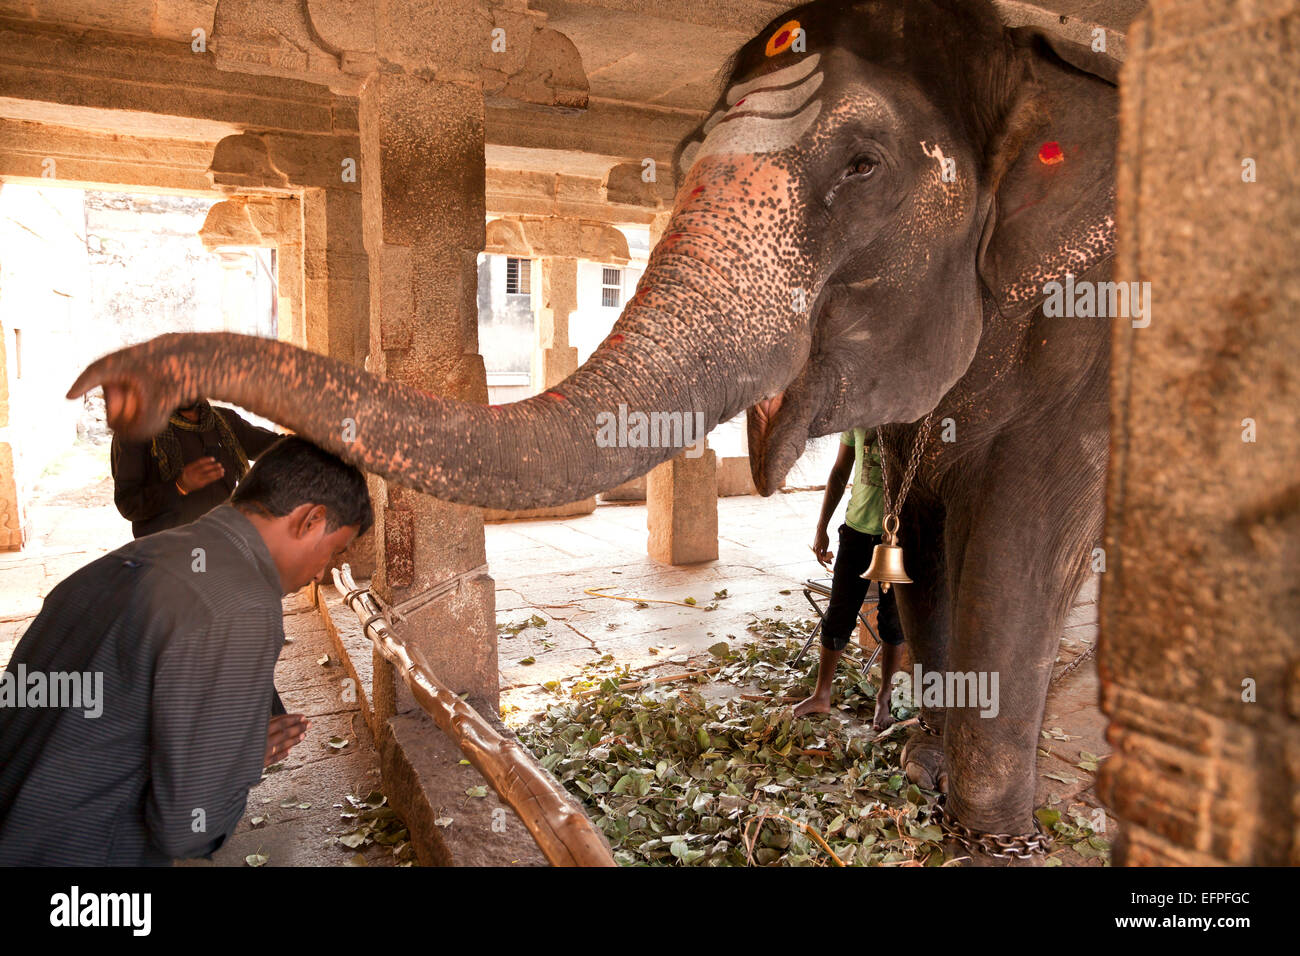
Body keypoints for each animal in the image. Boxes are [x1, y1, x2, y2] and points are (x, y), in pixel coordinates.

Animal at [68, 0, 1118, 862]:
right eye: (683, 163)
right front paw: (921, 783)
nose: (117, 383)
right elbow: (928, 539)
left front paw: (989, 839)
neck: (1029, 67)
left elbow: (1021, 533)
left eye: (864, 166)